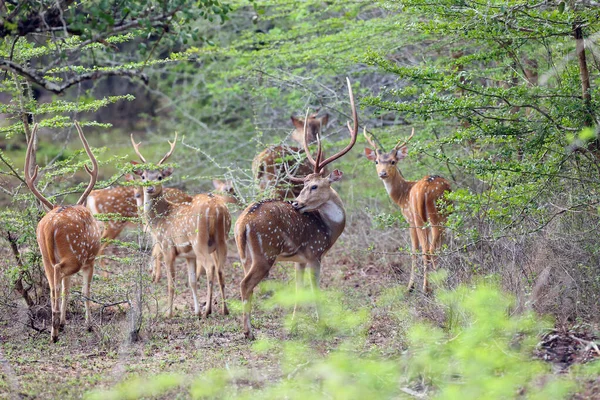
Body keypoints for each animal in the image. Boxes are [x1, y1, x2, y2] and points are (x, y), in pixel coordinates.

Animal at [24, 121, 101, 340]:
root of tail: (50, 225)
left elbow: (68, 287)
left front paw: (67, 322)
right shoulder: (91, 260)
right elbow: (86, 291)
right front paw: (89, 325)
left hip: (45, 255)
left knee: (53, 283)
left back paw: (55, 325)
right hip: (75, 254)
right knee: (59, 276)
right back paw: (55, 330)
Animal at [130, 134, 231, 318]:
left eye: (160, 176)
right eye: (143, 176)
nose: (149, 188)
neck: (161, 219)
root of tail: (216, 209)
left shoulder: (167, 247)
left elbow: (171, 283)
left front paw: (169, 313)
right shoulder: (189, 255)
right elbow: (192, 282)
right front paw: (196, 311)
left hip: (200, 241)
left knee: (211, 268)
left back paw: (208, 310)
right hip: (223, 239)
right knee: (221, 270)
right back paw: (224, 309)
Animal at [234, 77, 356, 338]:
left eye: (315, 185)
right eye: (306, 185)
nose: (296, 203)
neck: (329, 230)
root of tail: (242, 224)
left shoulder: (299, 260)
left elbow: (298, 290)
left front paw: (292, 325)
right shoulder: (314, 253)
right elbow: (315, 289)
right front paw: (323, 324)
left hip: (245, 255)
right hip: (265, 252)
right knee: (245, 284)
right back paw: (249, 332)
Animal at [364, 130, 452, 292]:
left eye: (393, 161)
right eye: (377, 161)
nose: (382, 173)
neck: (402, 196)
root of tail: (425, 188)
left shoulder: (409, 219)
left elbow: (413, 250)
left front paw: (410, 286)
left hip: (427, 217)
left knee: (428, 249)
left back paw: (429, 286)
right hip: (432, 216)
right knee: (431, 248)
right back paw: (435, 283)